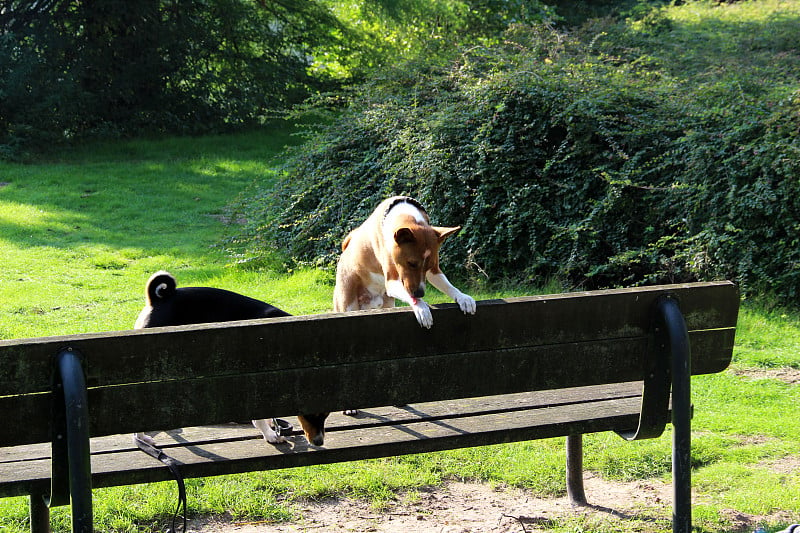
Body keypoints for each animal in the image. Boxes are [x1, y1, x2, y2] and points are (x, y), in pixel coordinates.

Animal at [134, 270, 328, 444]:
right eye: (310, 414)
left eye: (326, 413)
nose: (319, 442)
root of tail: (159, 299)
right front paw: (269, 434)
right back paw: (141, 437)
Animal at [332, 196, 476, 328]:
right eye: (411, 263)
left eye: (428, 266)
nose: (420, 293)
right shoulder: (392, 281)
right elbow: (412, 297)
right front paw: (422, 308)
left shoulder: (434, 271)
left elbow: (448, 286)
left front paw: (463, 298)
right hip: (348, 304)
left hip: (387, 303)